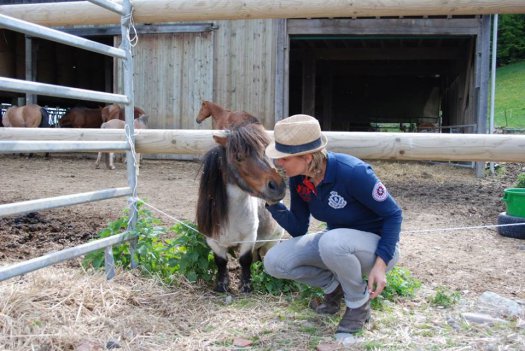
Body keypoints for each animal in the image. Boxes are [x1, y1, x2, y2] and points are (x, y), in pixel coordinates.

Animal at [196, 122, 286, 292]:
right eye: (238, 157)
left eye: (265, 151)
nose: (278, 186)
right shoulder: (213, 241)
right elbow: (221, 261)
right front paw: (222, 285)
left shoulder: (249, 237)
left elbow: (245, 260)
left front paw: (246, 286)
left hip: (272, 241)